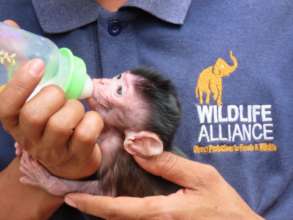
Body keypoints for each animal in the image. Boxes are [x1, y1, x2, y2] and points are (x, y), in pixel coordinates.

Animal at [18, 67, 180, 198]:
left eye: (119, 90)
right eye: (118, 76)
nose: (102, 81)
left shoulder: (113, 148)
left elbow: (105, 193)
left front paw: (47, 182)